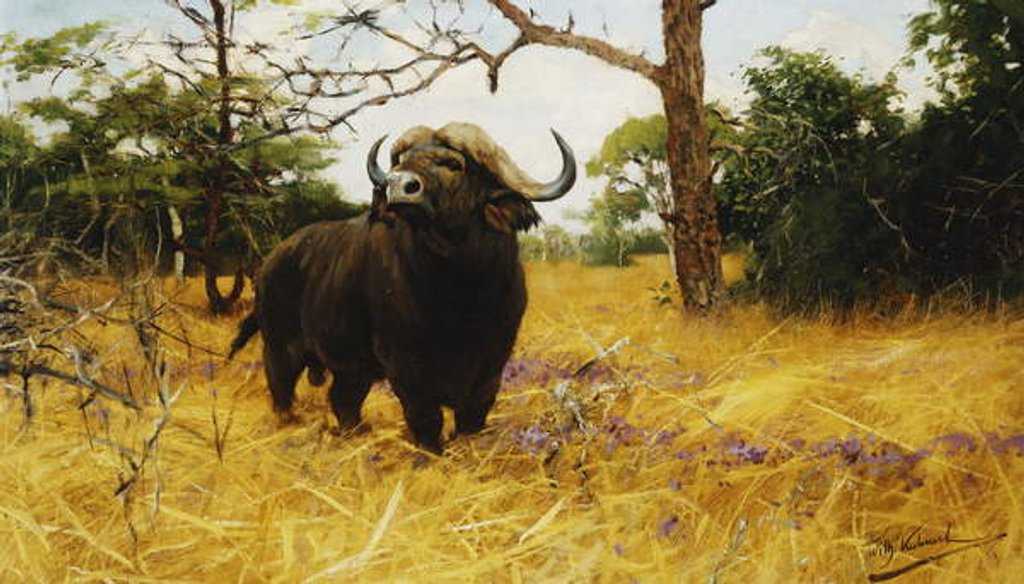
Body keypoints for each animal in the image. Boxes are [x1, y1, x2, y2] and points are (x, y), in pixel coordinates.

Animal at [229, 123, 576, 453]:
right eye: (403, 161)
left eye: (453, 164)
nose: (398, 185)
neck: (460, 293)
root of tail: (270, 262)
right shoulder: (402, 358)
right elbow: (425, 414)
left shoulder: (494, 355)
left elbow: (474, 411)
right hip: (279, 346)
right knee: (281, 387)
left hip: (351, 365)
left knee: (343, 398)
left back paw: (354, 432)